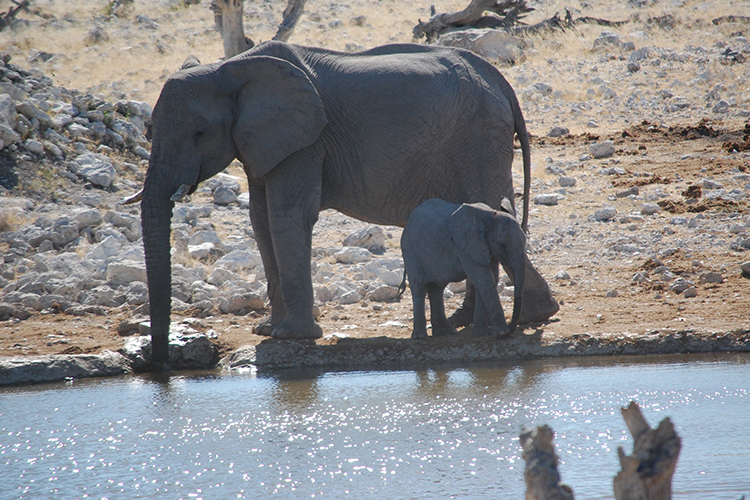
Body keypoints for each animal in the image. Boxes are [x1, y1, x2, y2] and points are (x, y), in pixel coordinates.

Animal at [402, 198, 524, 340]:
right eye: (502, 245)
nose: (511, 329)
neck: (491, 215)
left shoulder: (485, 247)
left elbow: (489, 279)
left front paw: (481, 334)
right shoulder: (464, 246)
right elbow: (483, 279)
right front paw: (502, 334)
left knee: (436, 287)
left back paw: (447, 332)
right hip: (411, 251)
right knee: (419, 287)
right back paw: (420, 337)